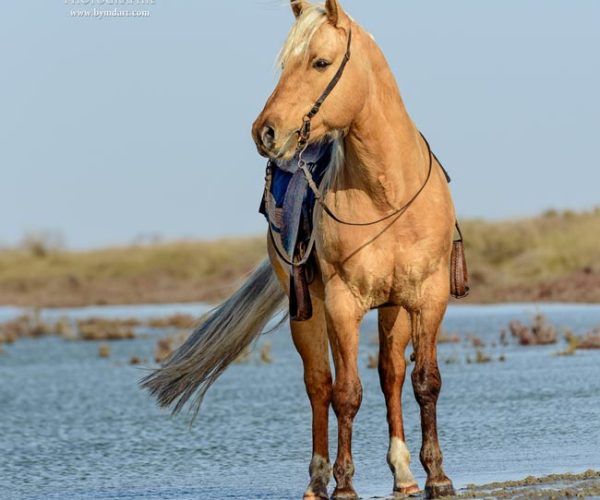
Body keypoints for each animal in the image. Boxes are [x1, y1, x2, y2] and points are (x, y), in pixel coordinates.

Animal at [143, 1, 458, 498]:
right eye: (286, 64)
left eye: (320, 62)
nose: (265, 132)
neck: (387, 195)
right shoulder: (343, 304)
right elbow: (345, 393)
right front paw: (344, 484)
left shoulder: (429, 297)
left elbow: (425, 382)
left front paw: (437, 477)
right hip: (309, 312)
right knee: (319, 385)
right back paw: (317, 479)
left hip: (392, 310)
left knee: (390, 373)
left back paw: (404, 474)